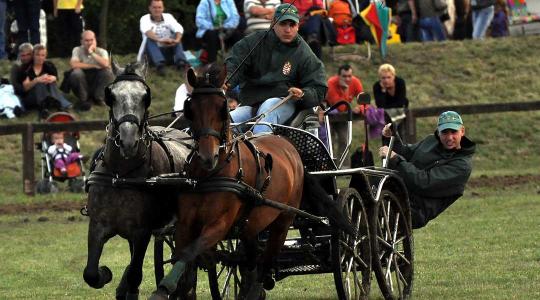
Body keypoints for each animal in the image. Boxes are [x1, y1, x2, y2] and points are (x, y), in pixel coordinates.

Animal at [83, 59, 195, 298]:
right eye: (111, 95)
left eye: (146, 96)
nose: (128, 141)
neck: (121, 176)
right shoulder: (97, 225)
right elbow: (91, 274)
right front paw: (106, 274)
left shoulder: (142, 232)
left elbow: (136, 274)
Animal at [152, 64, 354, 298]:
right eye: (189, 107)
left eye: (222, 108)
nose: (207, 156)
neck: (209, 175)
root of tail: (288, 146)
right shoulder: (185, 224)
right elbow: (183, 258)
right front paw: (174, 288)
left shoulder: (219, 225)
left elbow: (190, 253)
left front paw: (165, 288)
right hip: (252, 223)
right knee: (251, 258)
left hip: (283, 218)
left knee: (267, 258)